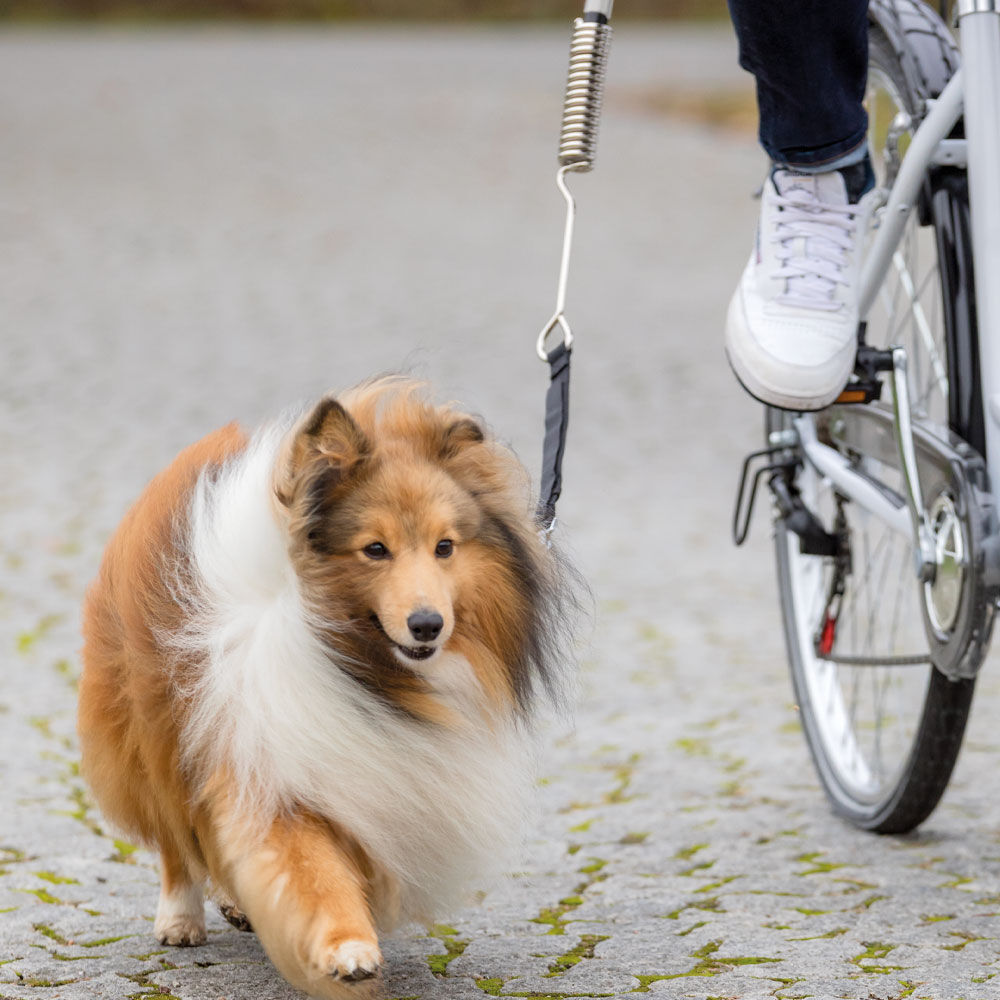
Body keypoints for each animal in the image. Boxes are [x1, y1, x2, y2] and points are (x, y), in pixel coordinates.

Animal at [78, 378, 572, 996]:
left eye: (445, 546)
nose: (428, 625)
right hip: (151, 726)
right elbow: (312, 869)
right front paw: (348, 949)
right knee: (173, 832)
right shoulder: (274, 766)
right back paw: (180, 919)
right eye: (375, 548)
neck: (360, 666)